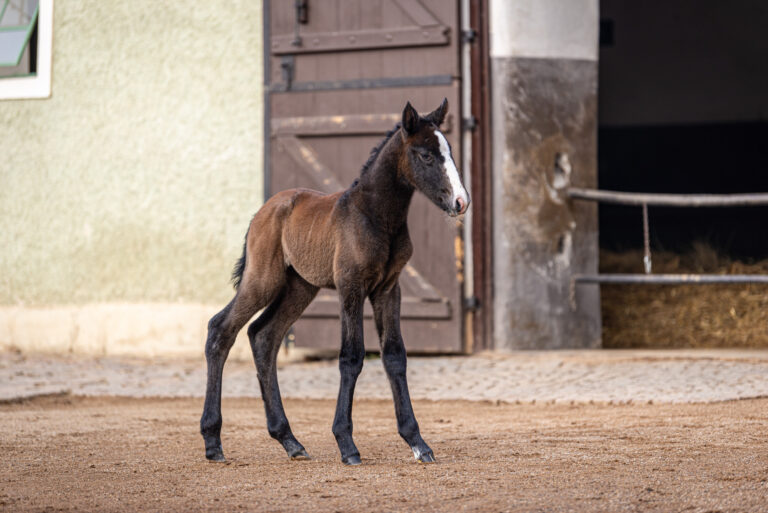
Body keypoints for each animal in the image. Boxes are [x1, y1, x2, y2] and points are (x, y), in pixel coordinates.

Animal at [200, 99, 468, 464]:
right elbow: (351, 357)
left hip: (300, 287)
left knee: (263, 336)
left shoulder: (389, 289)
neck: (376, 216)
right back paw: (213, 441)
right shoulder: (350, 286)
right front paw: (347, 444)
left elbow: (395, 356)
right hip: (263, 280)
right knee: (221, 328)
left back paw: (289, 440)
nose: (461, 201)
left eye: (449, 150)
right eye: (426, 155)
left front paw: (417, 442)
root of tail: (264, 211)